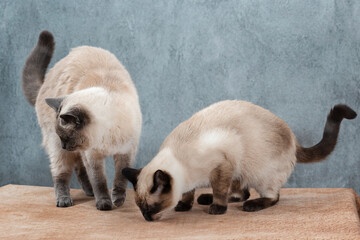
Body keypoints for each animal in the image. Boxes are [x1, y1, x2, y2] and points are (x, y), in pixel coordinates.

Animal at [21, 30, 143, 210]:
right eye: (62, 137)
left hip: (77, 150)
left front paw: (118, 200)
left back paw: (89, 192)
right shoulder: (92, 156)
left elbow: (120, 179)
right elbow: (99, 181)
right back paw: (65, 200)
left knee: (79, 168)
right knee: (62, 174)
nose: (64, 145)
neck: (107, 138)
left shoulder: (125, 152)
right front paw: (104, 203)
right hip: (59, 149)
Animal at [122, 100, 356, 221]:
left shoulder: (221, 165)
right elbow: (188, 193)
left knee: (269, 197)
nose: (146, 218)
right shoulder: (208, 174)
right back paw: (206, 198)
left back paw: (249, 205)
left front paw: (217, 209)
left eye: (151, 208)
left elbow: (219, 190)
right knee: (241, 192)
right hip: (239, 171)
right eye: (140, 208)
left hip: (256, 173)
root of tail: (293, 139)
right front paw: (184, 205)